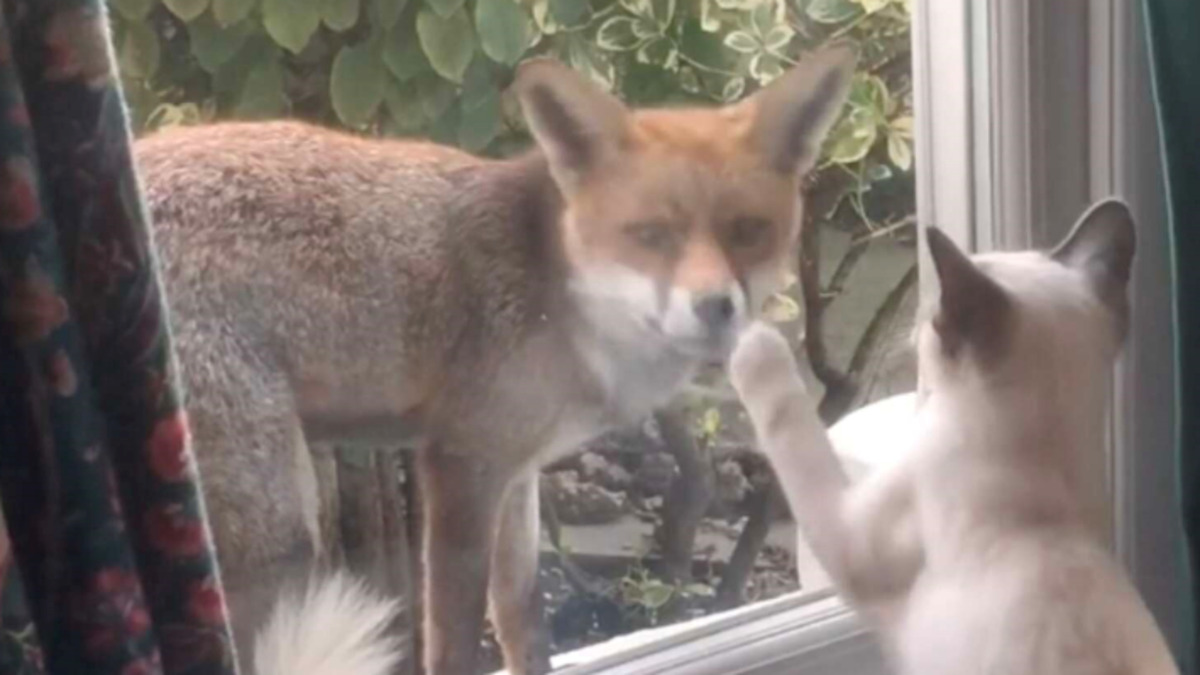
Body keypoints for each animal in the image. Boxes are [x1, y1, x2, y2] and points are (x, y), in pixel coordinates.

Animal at [136, 47, 859, 672]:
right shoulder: (461, 462)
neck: (564, 298)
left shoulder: (516, 470)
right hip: (275, 521)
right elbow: (454, 636)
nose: (716, 308)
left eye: (748, 230)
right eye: (651, 234)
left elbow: (520, 615)